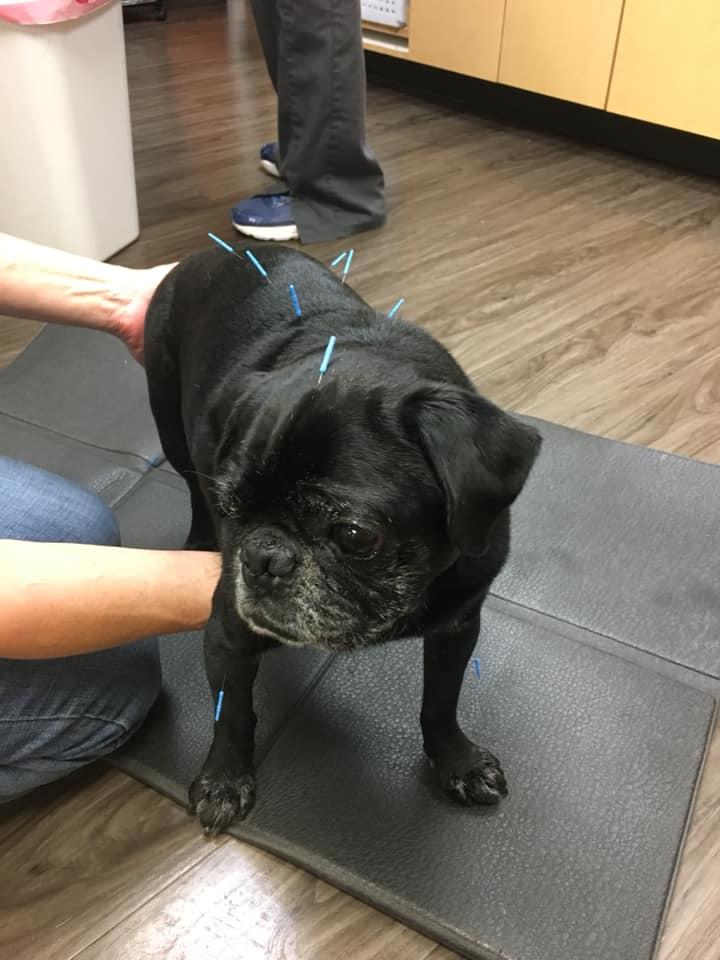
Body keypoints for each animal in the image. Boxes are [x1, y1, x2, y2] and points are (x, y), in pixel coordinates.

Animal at [145, 246, 540, 832]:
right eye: (233, 509)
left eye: (354, 535)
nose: (262, 557)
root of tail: (206, 253)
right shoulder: (227, 632)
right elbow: (231, 714)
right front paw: (223, 780)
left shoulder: (458, 627)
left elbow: (441, 704)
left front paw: (457, 762)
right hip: (170, 423)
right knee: (190, 479)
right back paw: (198, 539)